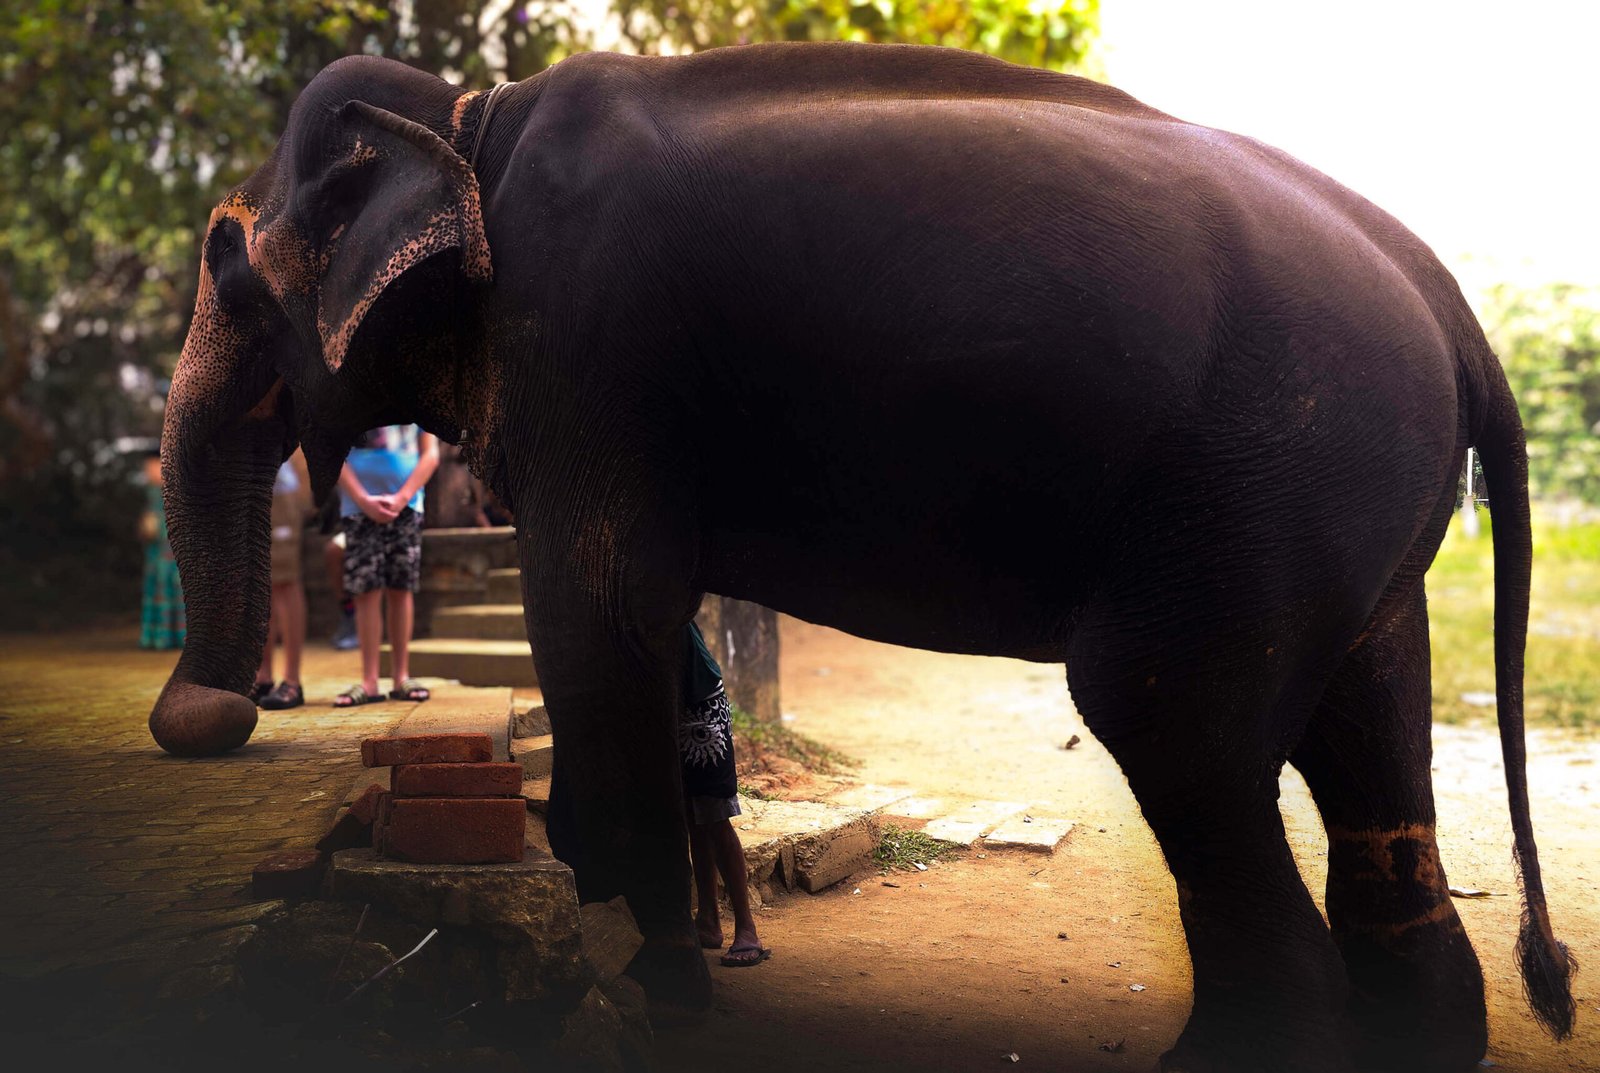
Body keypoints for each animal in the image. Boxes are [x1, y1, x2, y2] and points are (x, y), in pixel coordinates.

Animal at [148, 42, 1574, 1072]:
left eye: (231, 268)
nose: (208, 711)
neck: (469, 118)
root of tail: (1452, 306)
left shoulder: (586, 347)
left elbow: (599, 613)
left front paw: (640, 980)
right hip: (1350, 506)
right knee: (1369, 731)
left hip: (1261, 479)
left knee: (1169, 719)